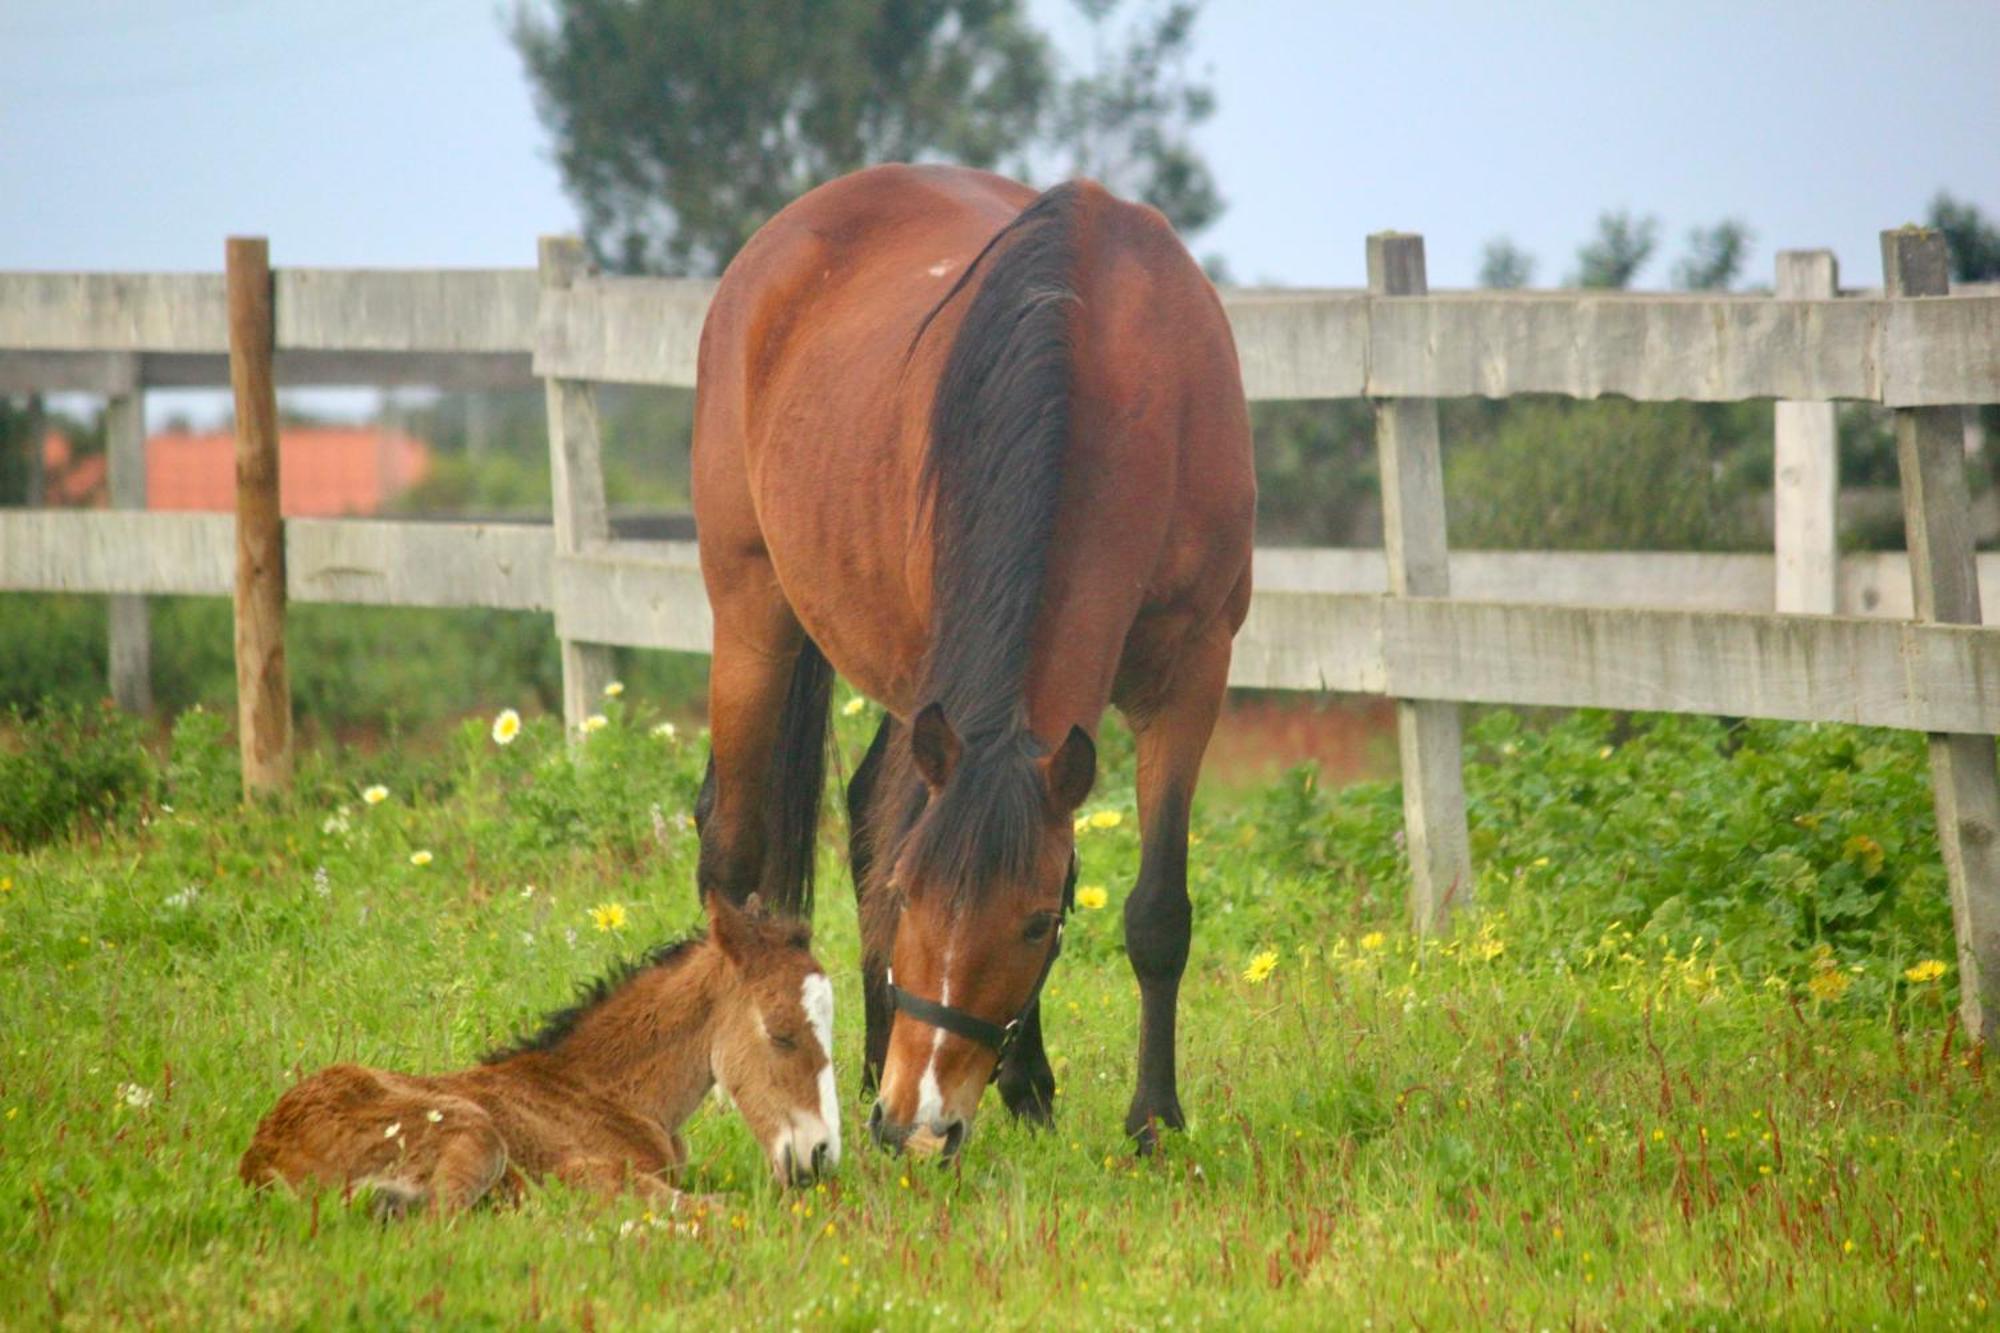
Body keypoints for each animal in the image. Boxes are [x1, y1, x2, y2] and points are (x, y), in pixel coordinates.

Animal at [240, 892, 836, 1216]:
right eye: (781, 1034)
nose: (821, 1155)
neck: (604, 1090)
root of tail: (262, 1158)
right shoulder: (585, 1168)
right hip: (474, 1132)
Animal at [692, 161, 1248, 1152]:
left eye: (1035, 924)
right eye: (915, 896)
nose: (914, 1122)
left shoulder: (1193, 673)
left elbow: (1157, 911)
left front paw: (1151, 1118)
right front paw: (1031, 1084)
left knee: (862, 808)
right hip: (752, 611)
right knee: (732, 846)